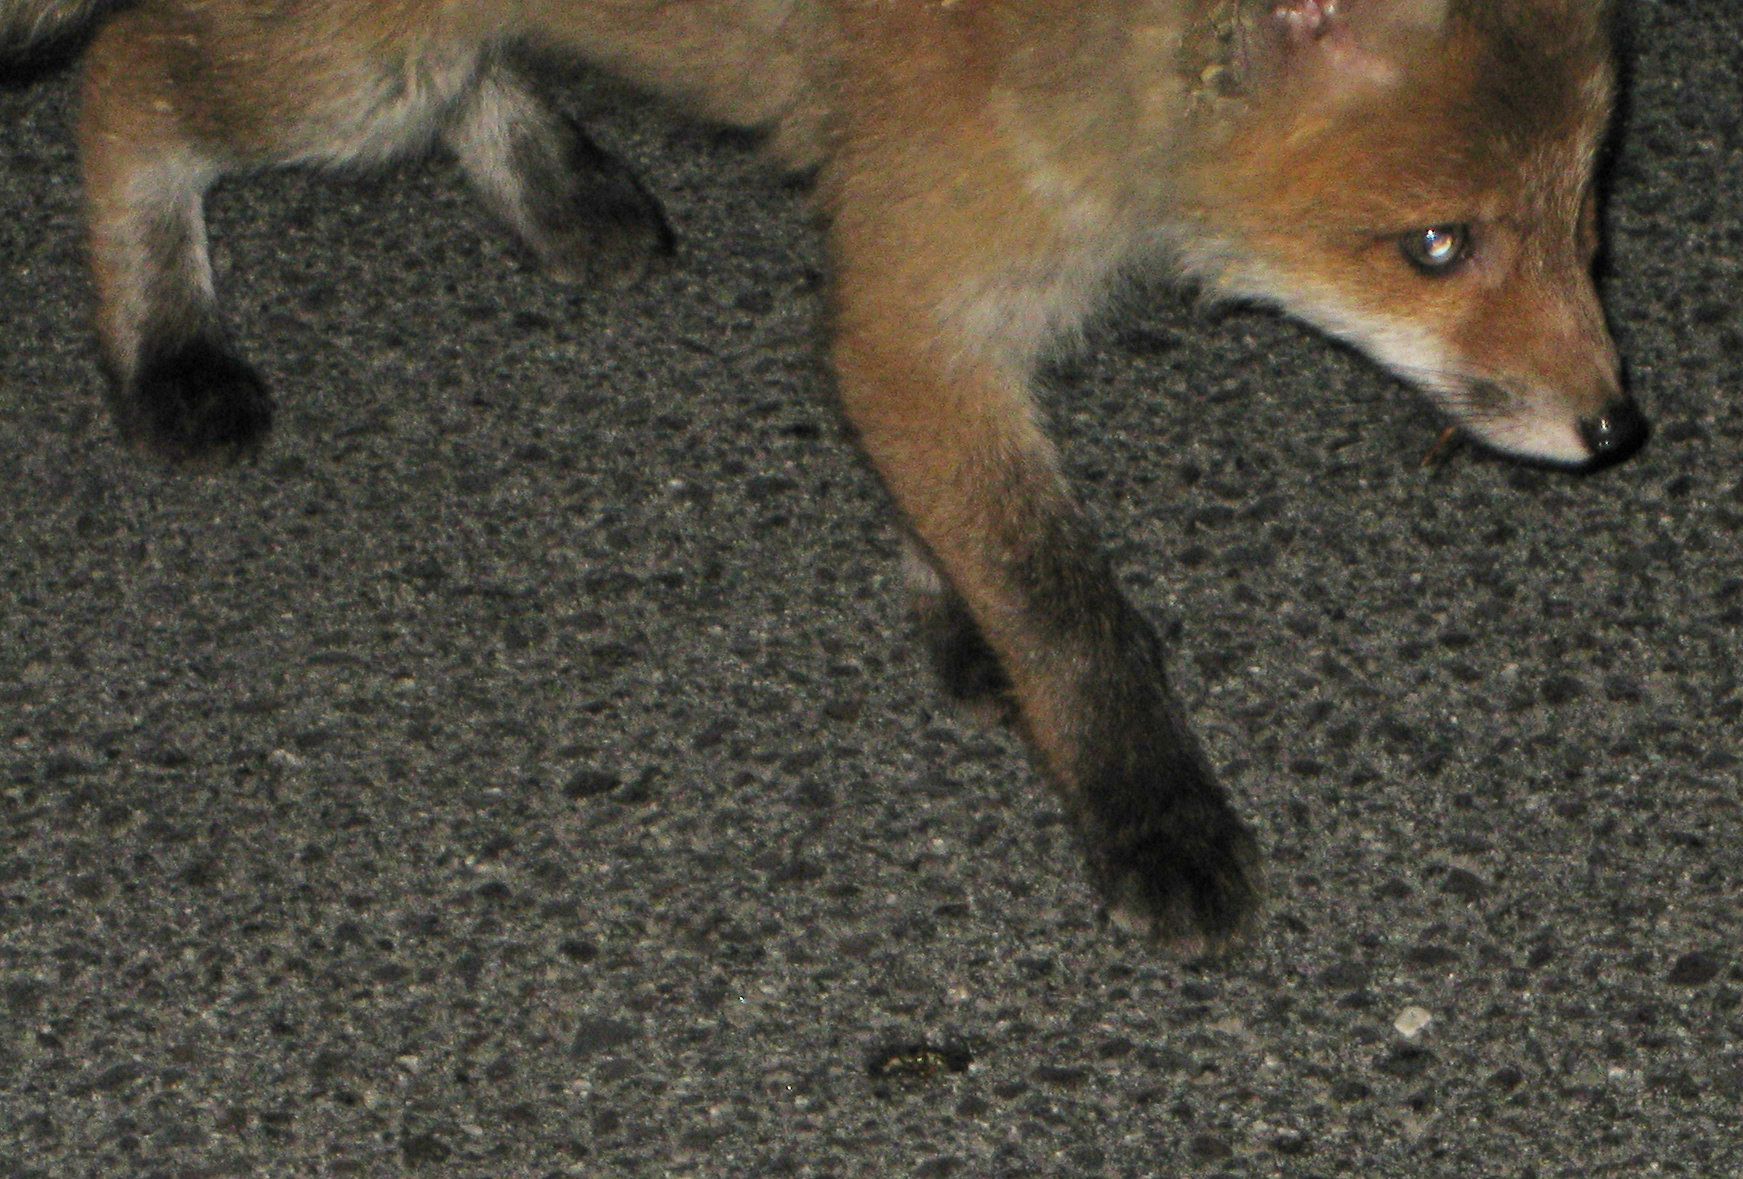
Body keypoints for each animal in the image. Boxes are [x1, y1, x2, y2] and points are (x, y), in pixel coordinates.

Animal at [0, 0, 1642, 952]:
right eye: (1436, 245)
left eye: (1586, 215)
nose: (1616, 431)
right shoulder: (914, 294)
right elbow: (1070, 605)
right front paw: (1149, 810)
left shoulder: (935, 311)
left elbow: (968, 522)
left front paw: (960, 626)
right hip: (353, 80)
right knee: (123, 82)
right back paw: (165, 353)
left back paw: (557, 187)